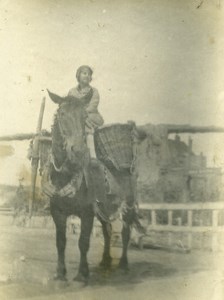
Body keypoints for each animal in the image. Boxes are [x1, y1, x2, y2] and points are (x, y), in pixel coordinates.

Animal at [42, 90, 144, 282]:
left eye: (84, 117)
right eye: (62, 114)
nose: (78, 150)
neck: (66, 175)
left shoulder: (87, 213)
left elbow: (83, 242)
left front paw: (82, 274)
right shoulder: (57, 212)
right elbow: (60, 242)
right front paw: (60, 274)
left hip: (127, 207)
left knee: (125, 233)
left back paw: (123, 265)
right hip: (105, 209)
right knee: (107, 231)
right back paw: (105, 261)